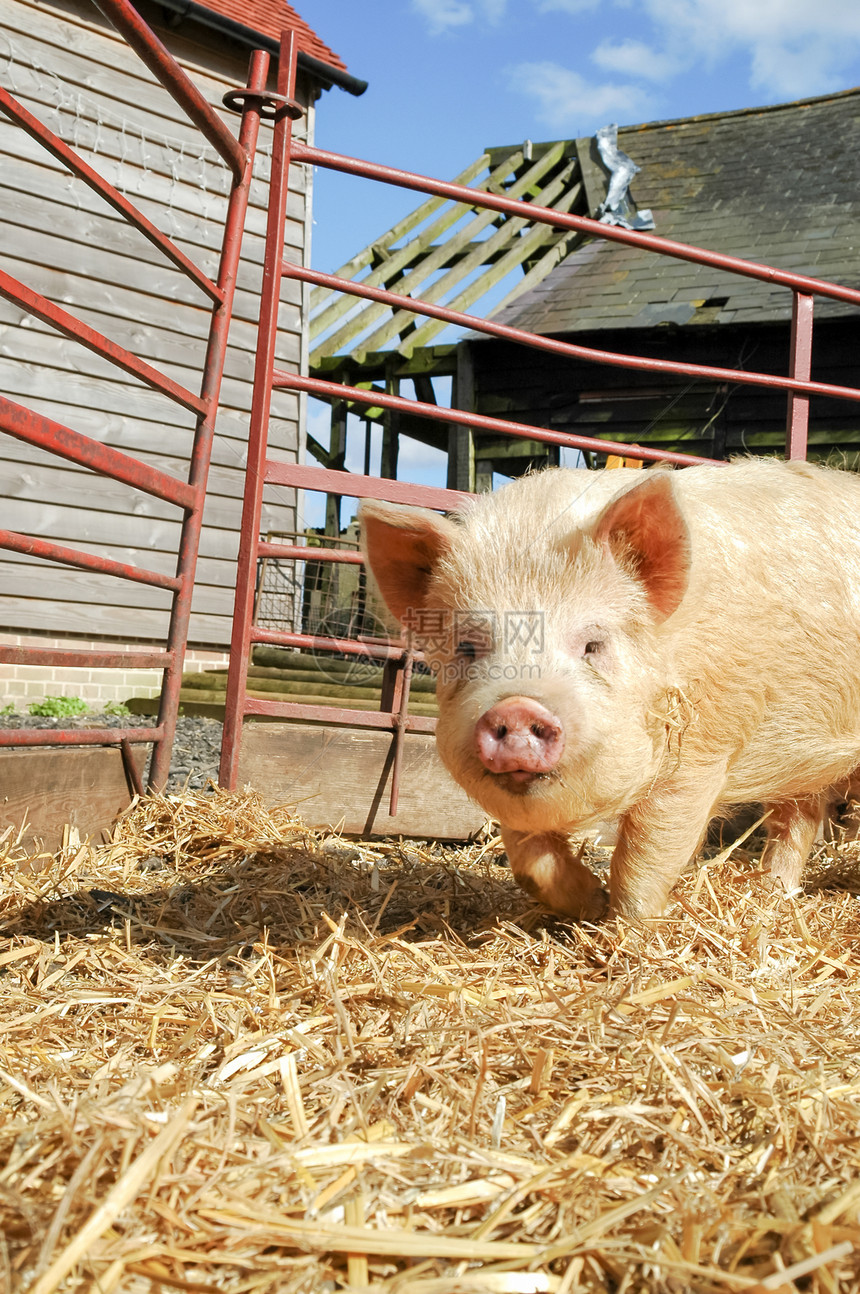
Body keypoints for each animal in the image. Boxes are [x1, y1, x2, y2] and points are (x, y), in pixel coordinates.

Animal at [359, 460, 860, 926]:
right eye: (467, 646)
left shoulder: (702, 753)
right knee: (801, 815)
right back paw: (773, 893)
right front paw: (589, 906)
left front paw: (623, 934)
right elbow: (529, 857)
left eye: (592, 644)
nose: (517, 707)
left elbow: (647, 856)